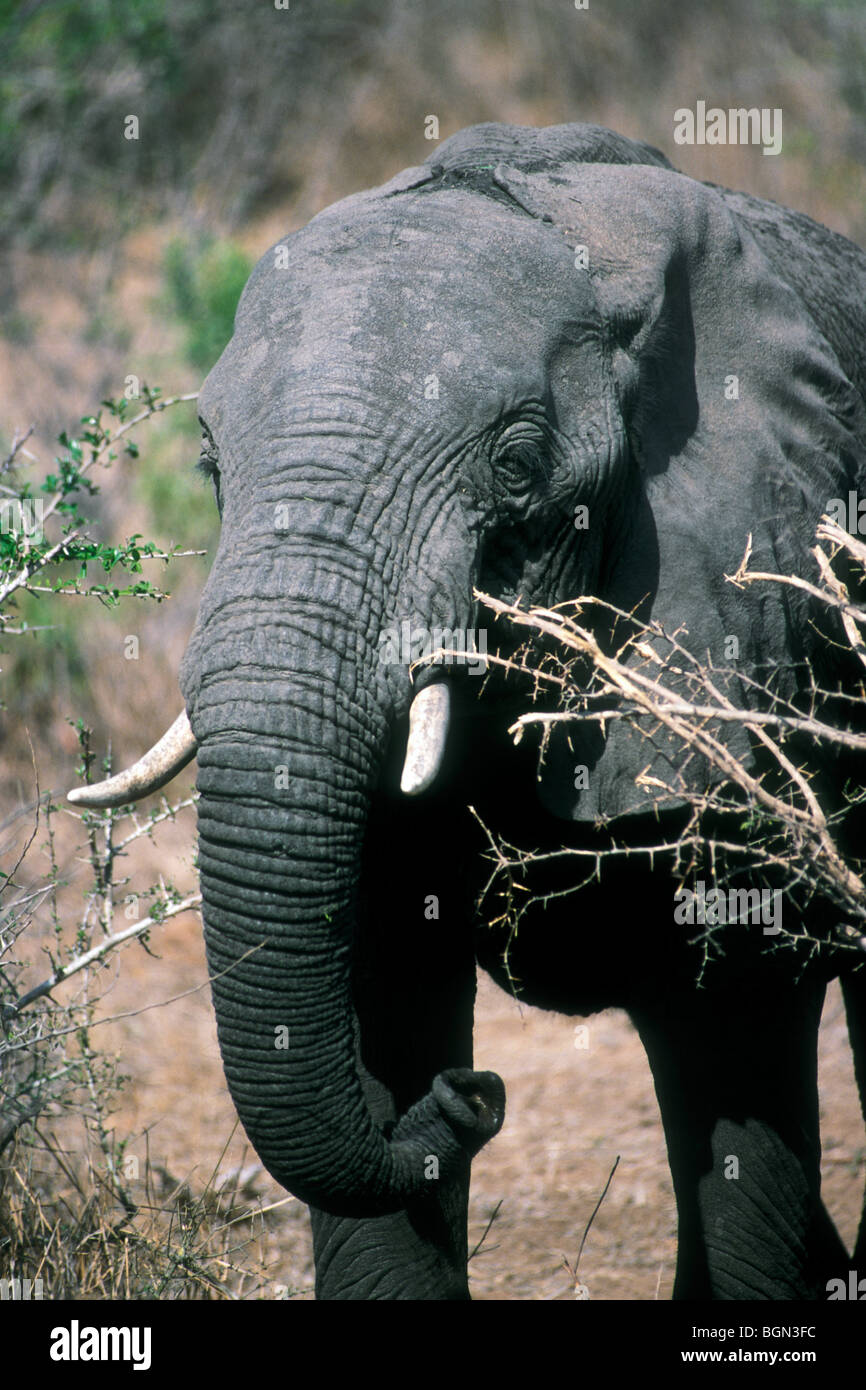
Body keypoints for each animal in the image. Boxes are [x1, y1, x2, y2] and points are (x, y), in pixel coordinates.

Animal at [69, 125, 866, 1295]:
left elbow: (736, 1042)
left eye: (517, 465)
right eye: (212, 465)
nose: (475, 1095)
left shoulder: (753, 638)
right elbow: (377, 989)